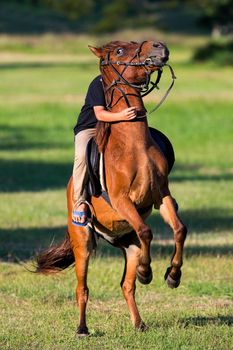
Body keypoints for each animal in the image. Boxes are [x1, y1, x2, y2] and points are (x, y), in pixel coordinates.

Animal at [35, 39, 187, 334]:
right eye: (118, 51)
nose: (159, 46)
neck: (135, 146)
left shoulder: (162, 197)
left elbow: (179, 230)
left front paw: (172, 276)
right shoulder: (121, 200)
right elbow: (147, 230)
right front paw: (147, 272)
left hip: (128, 245)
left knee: (127, 286)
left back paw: (139, 323)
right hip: (82, 242)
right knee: (82, 288)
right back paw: (82, 328)